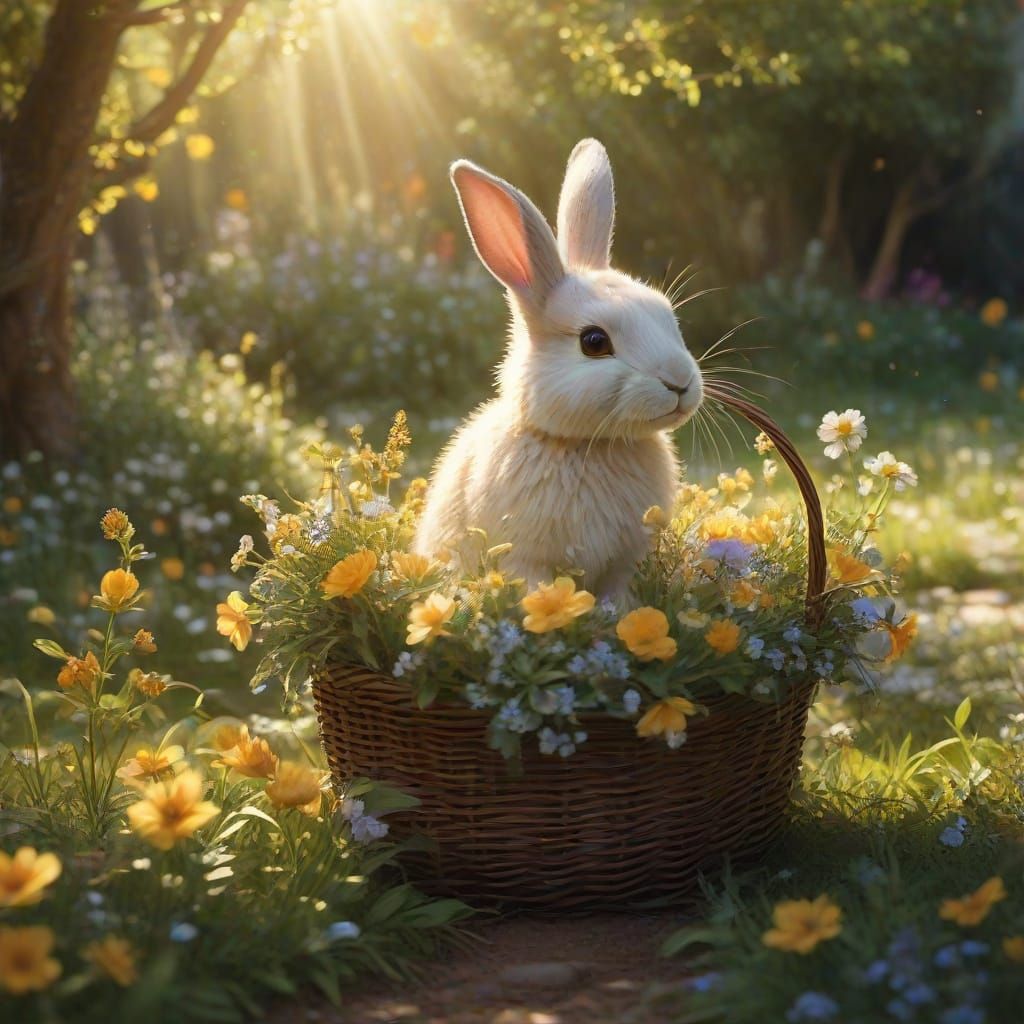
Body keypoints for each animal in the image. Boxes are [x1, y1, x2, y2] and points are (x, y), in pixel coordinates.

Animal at [413, 138, 703, 598]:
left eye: (667, 316)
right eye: (594, 342)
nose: (680, 382)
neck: (585, 445)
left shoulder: (627, 562)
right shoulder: (524, 559)